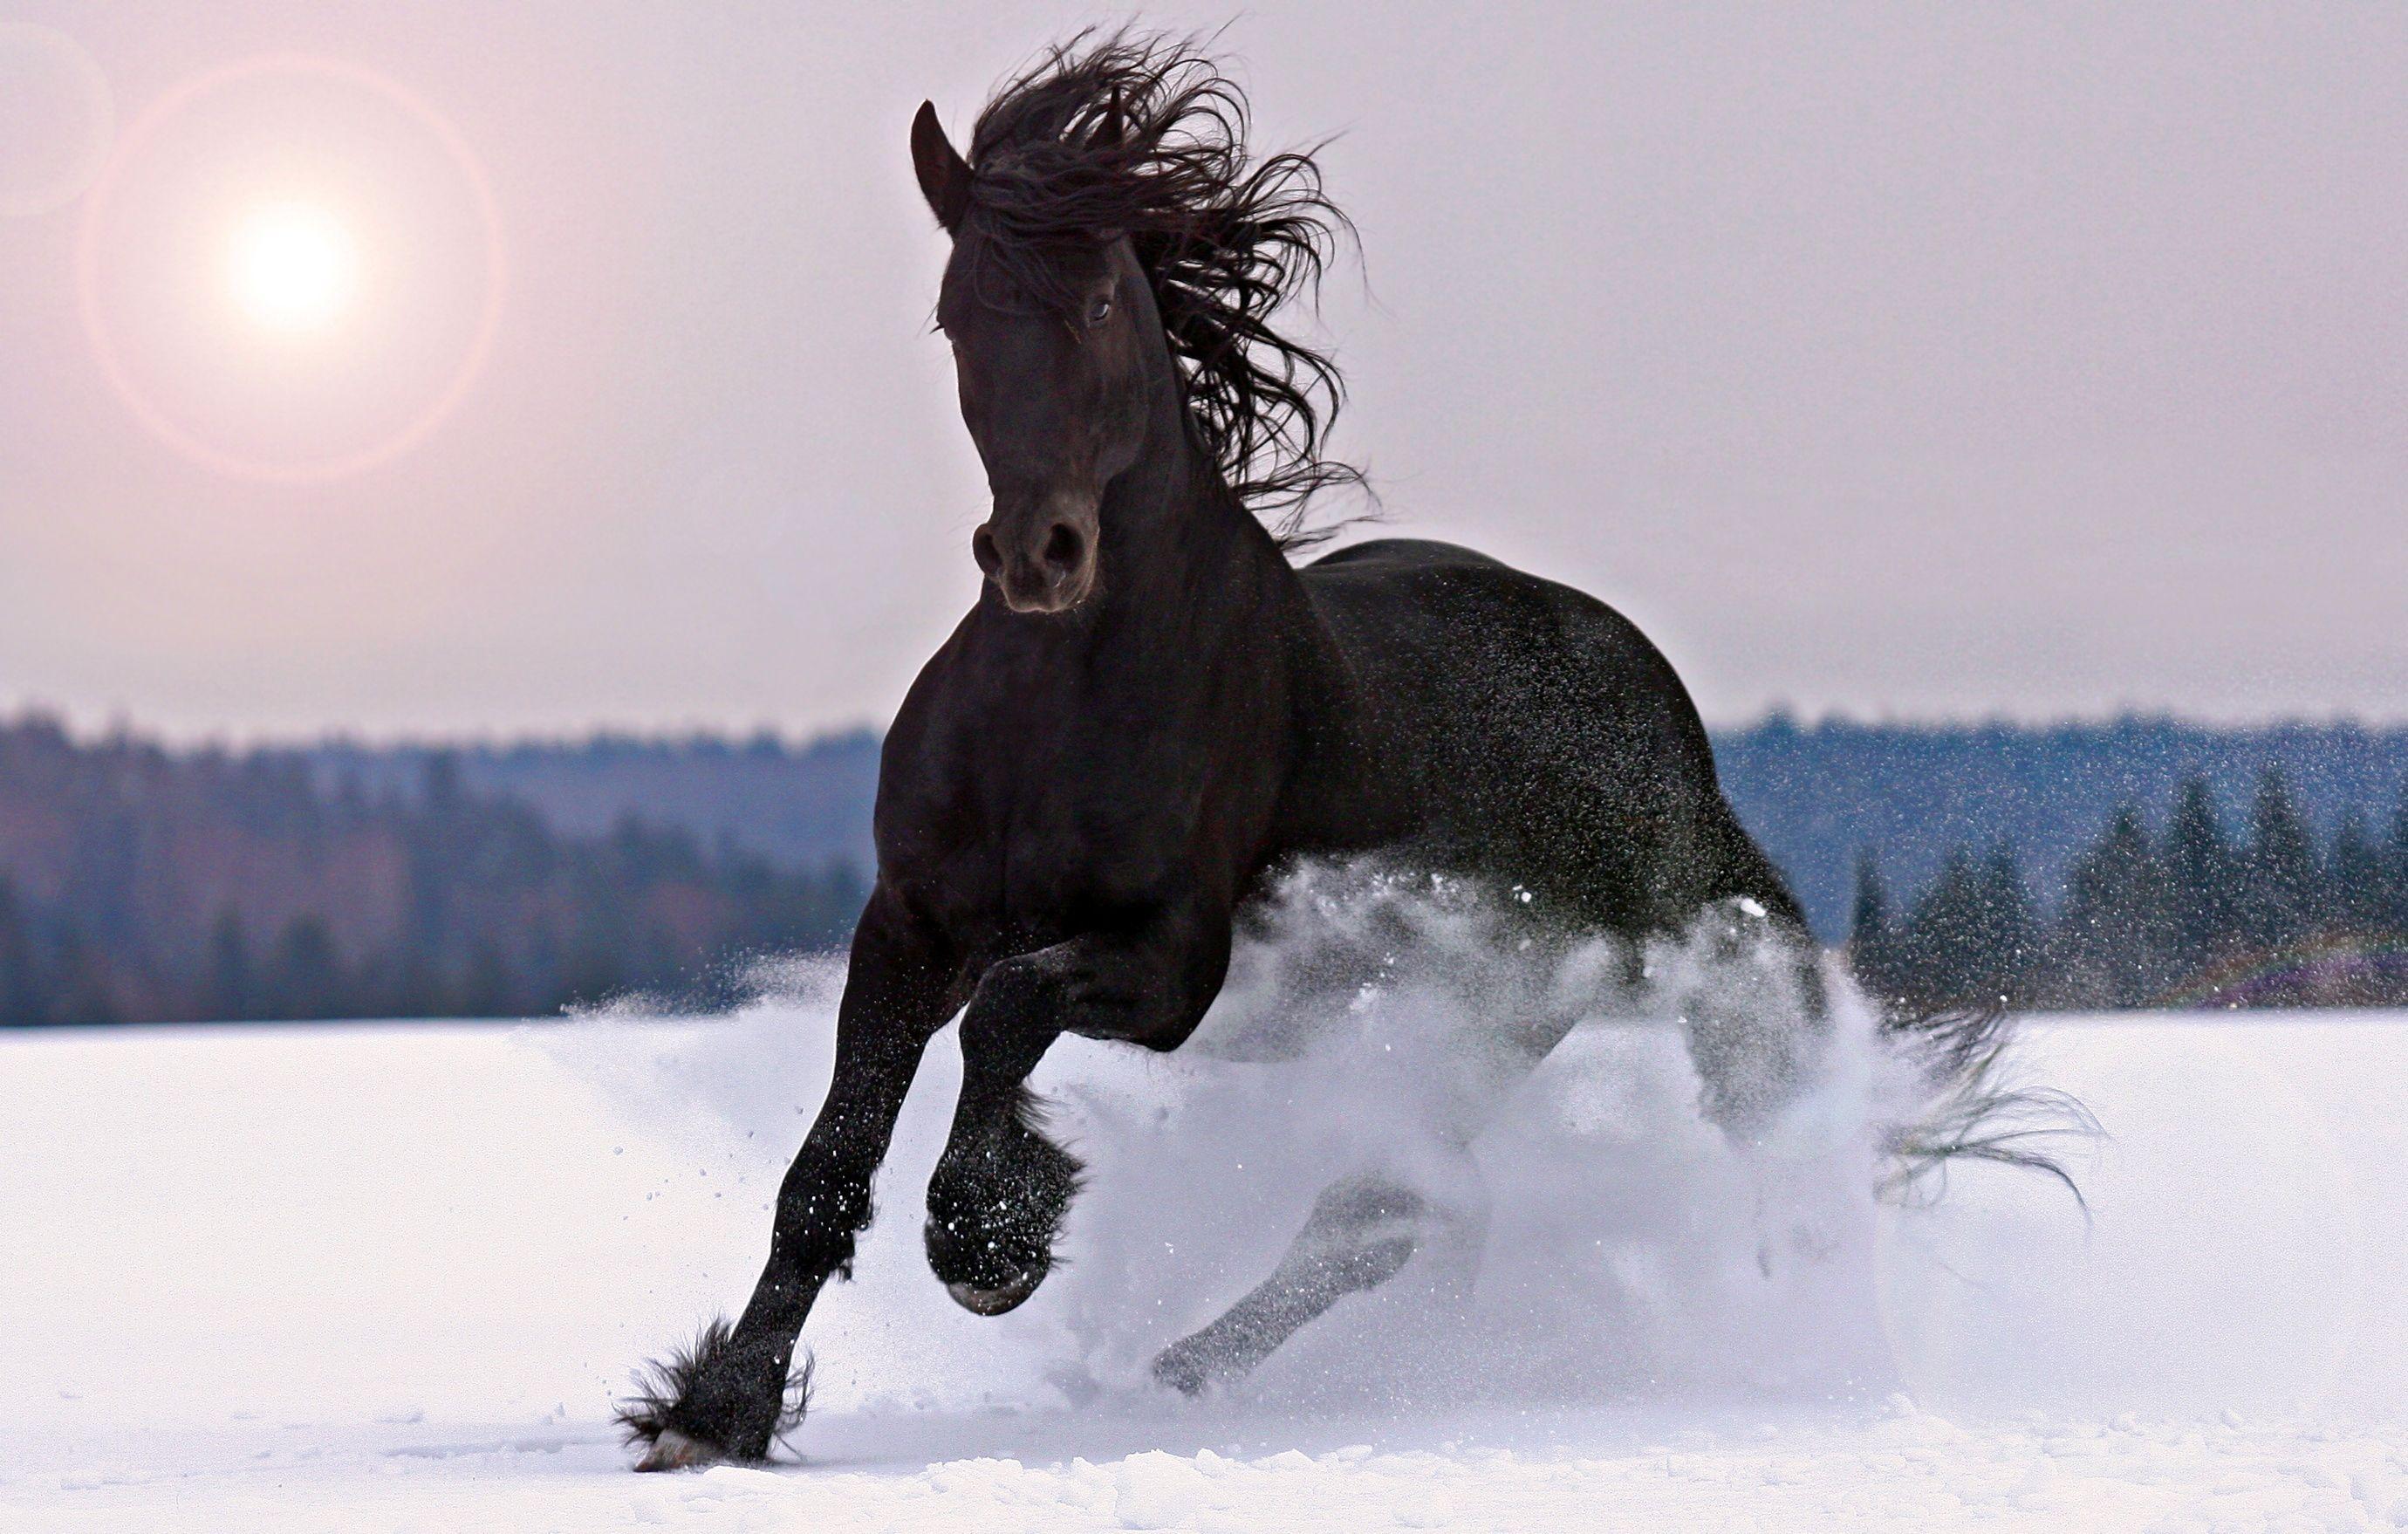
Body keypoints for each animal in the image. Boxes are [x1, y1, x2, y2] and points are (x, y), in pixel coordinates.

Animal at [621, 33, 1853, 1470]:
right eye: (954, 315)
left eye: (1104, 298)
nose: (1039, 555)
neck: (1057, 705)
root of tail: (1668, 728)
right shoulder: (910, 929)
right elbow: (825, 1170)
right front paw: (712, 1412)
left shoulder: (1174, 962)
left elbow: (1009, 1012)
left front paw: (990, 1239)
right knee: (1390, 1208)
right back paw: (1177, 1370)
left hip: (1498, 1011)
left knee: (1383, 1208)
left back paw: (1174, 1373)